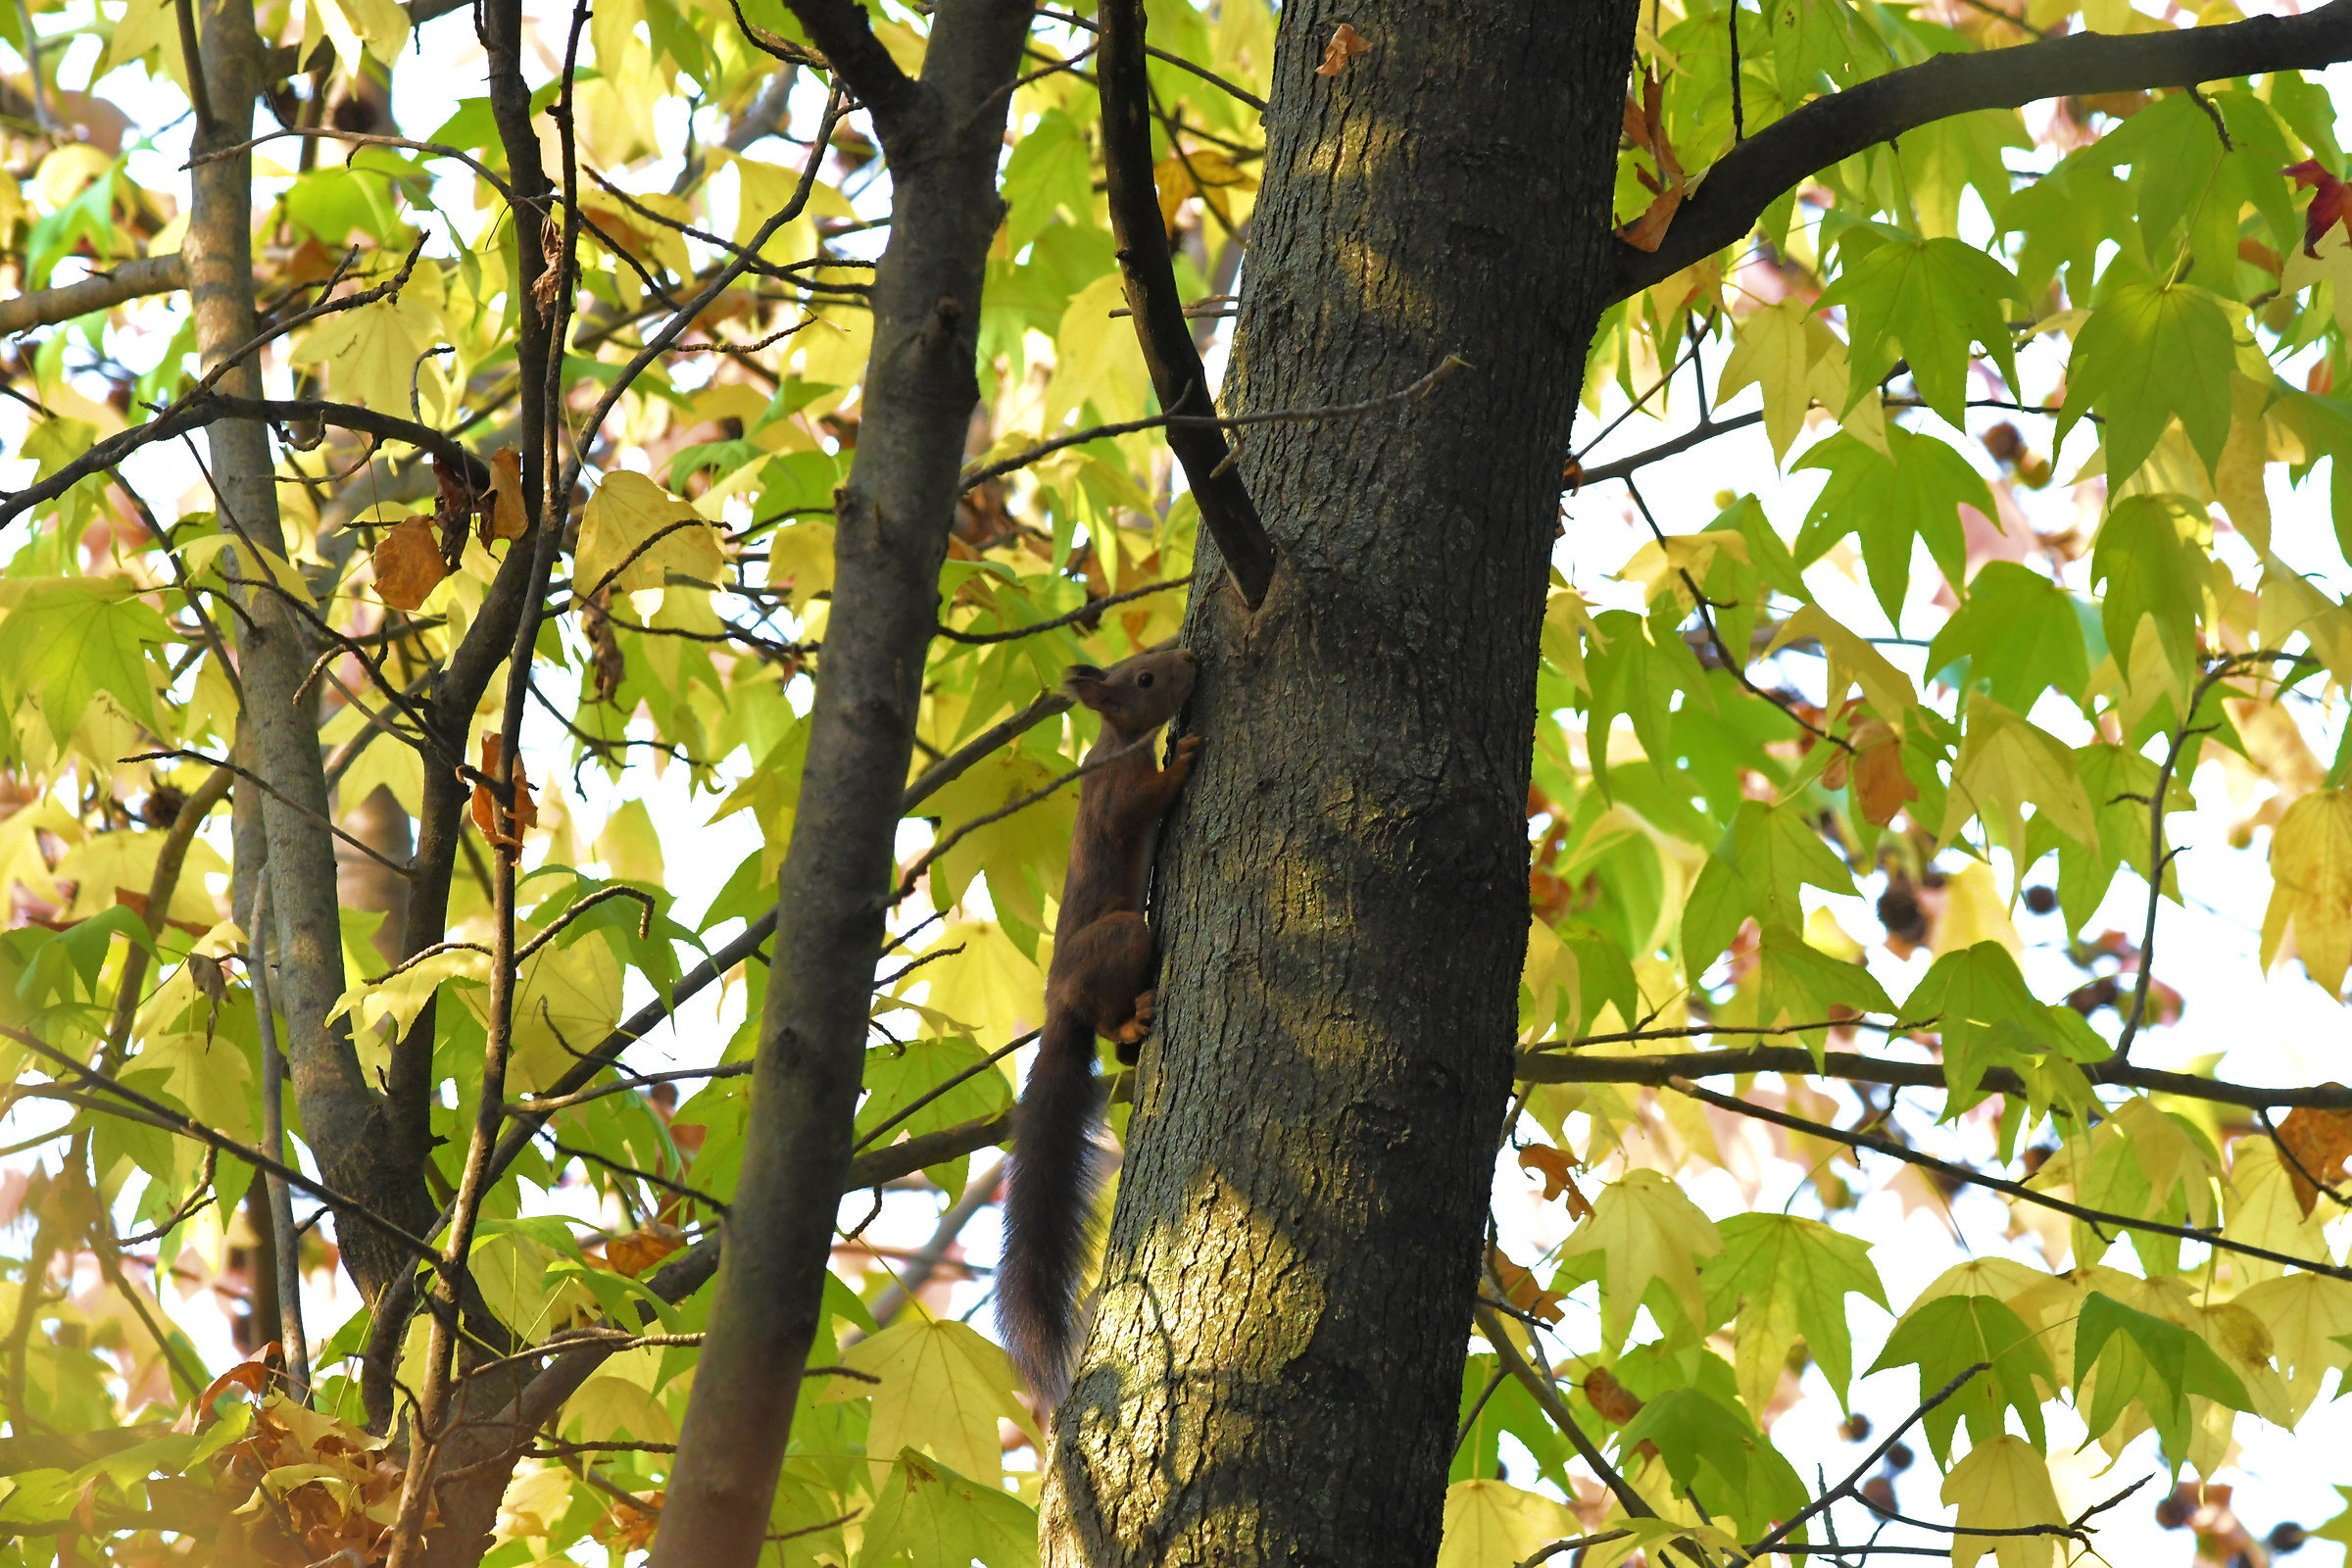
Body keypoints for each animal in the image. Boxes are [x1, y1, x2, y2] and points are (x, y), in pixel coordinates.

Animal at [998, 646, 1201, 1406]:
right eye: (1144, 679)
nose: (1189, 653)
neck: (1115, 743)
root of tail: (1060, 1005)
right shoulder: (1118, 797)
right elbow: (1151, 798)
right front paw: (1184, 755)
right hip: (1122, 937)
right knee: (1110, 1015)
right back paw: (1135, 1017)